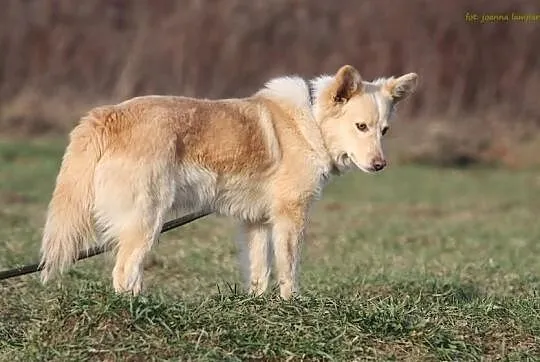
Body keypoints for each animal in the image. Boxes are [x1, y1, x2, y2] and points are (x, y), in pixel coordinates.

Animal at [39, 66, 418, 300]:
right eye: (361, 127)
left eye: (384, 131)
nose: (380, 165)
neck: (310, 121)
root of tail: (106, 115)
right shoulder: (290, 217)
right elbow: (289, 269)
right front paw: (291, 305)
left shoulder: (256, 222)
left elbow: (259, 272)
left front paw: (259, 306)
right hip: (147, 220)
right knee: (124, 273)